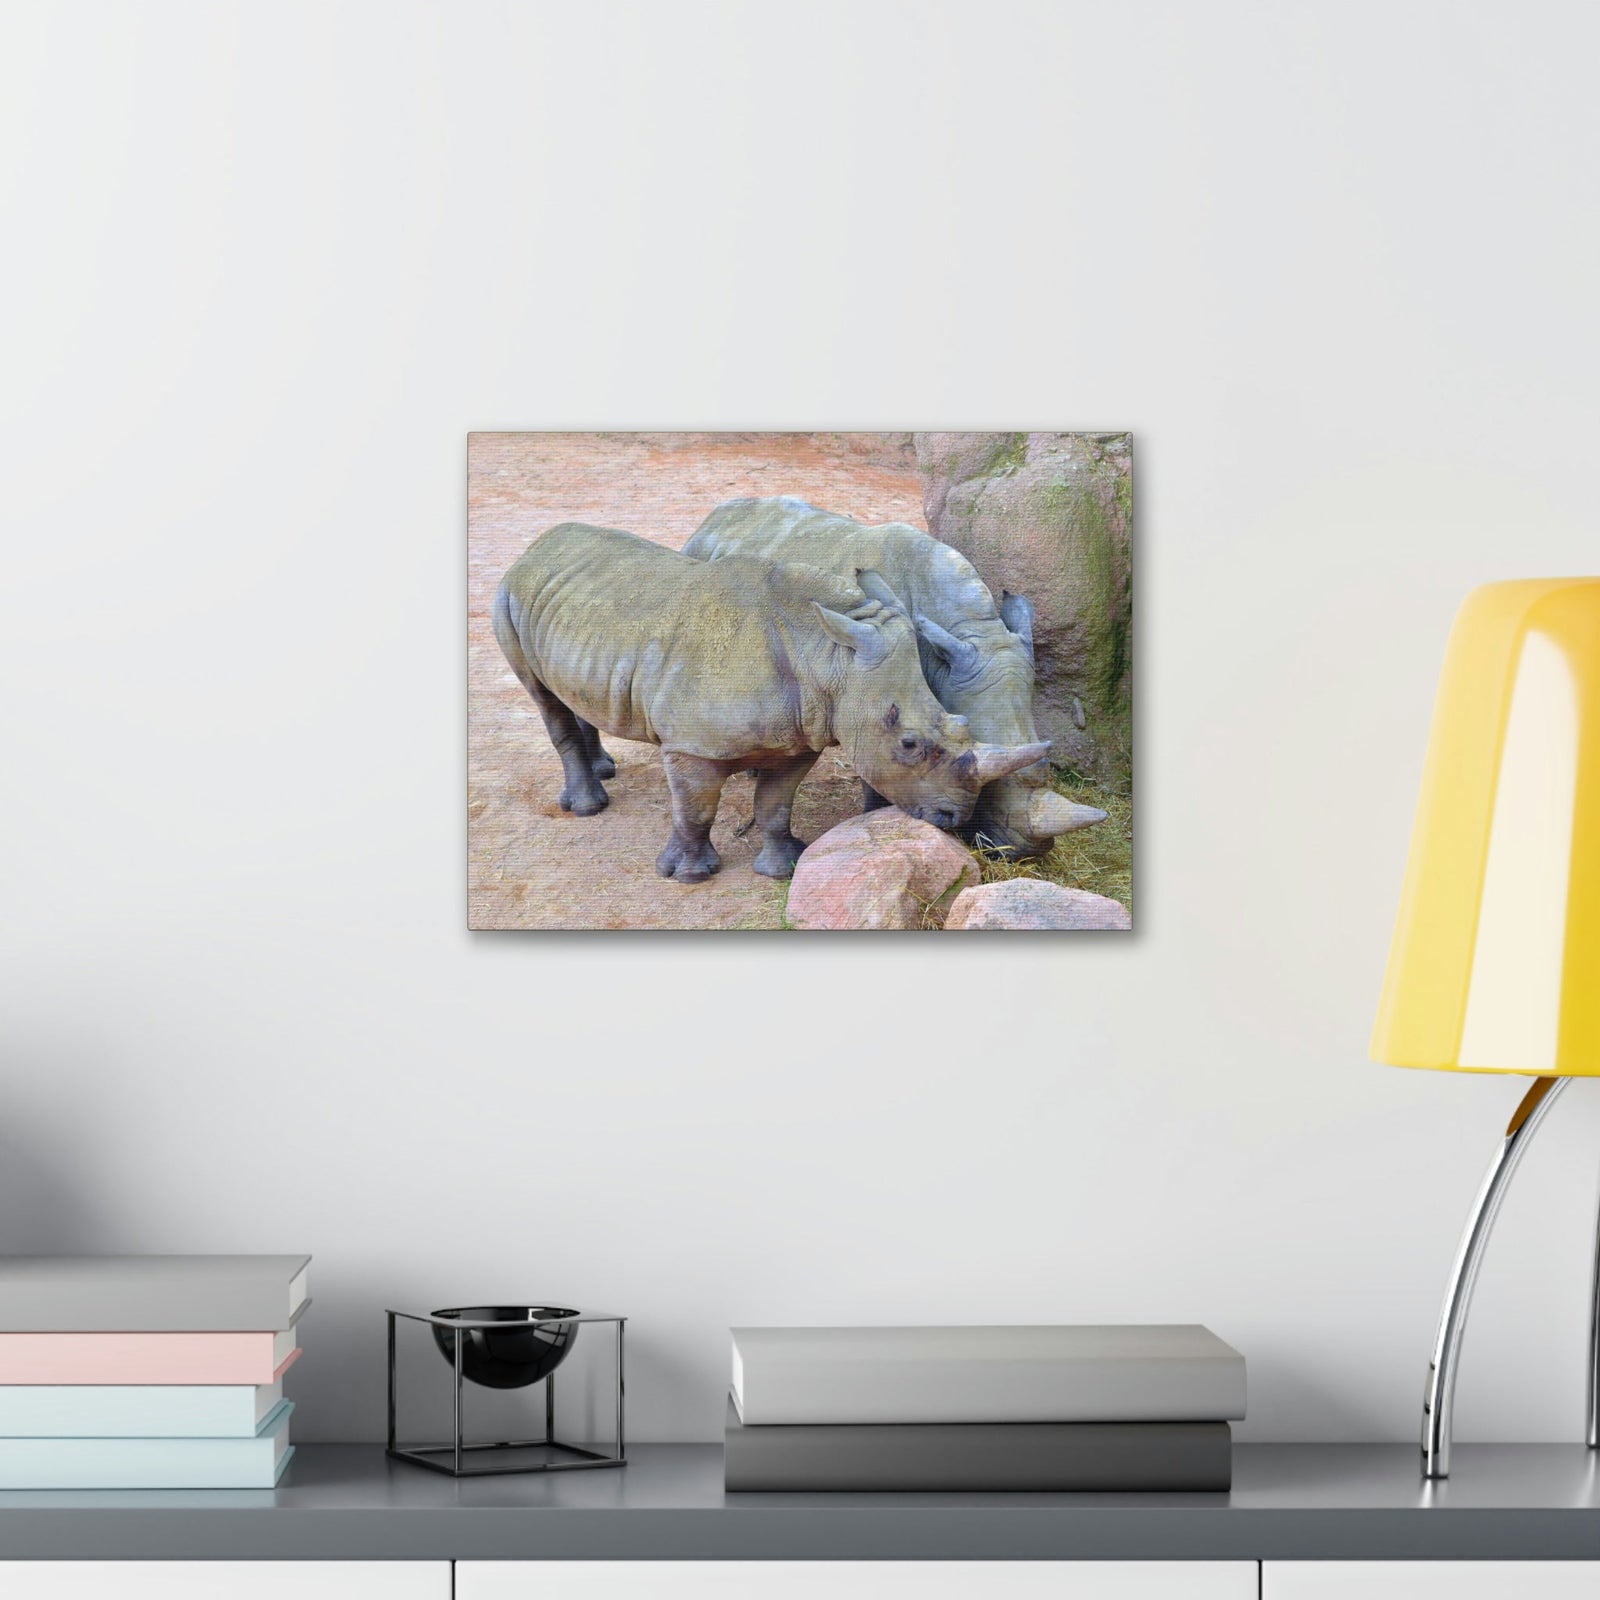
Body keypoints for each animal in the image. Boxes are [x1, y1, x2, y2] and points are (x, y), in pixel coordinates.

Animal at [492, 522, 1050, 882]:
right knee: (542, 696)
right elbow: (695, 807)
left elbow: (776, 805)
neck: (828, 655)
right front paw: (689, 876)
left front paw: (784, 867)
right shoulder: (691, 744)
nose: (953, 818)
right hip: (507, 595)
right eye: (909, 743)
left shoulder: (801, 735)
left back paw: (604, 771)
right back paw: (589, 807)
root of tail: (535, 547)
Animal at [683, 497, 1106, 856]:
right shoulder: (877, 690)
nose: (1022, 853)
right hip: (701, 564)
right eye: (993, 783)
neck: (971, 631)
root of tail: (712, 516)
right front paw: (875, 816)